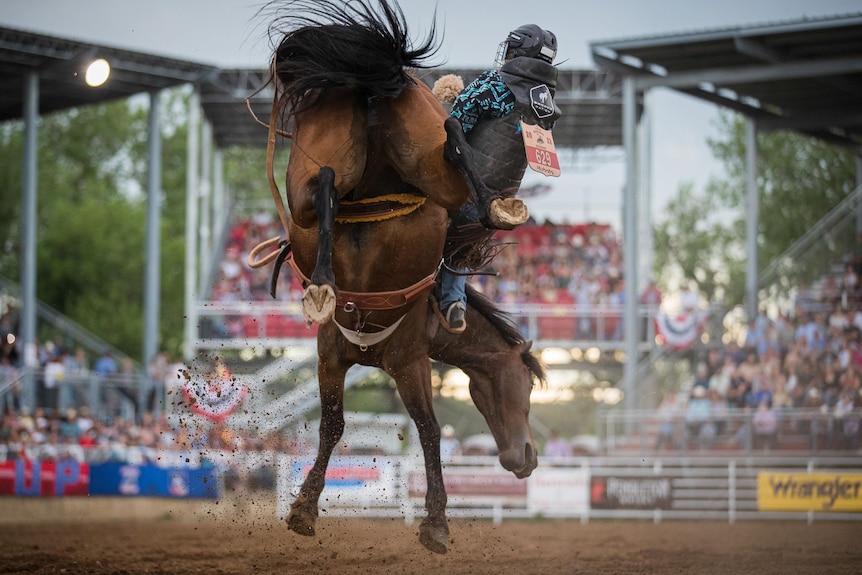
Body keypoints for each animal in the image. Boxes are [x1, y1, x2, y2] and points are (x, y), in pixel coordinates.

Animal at [251, 1, 548, 560]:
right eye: (526, 384)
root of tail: (379, 83)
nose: (527, 459)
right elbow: (378, 429)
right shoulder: (364, 356)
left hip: (322, 169)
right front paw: (434, 523)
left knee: (338, 180)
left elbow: (405, 429)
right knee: (438, 142)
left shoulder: (387, 360)